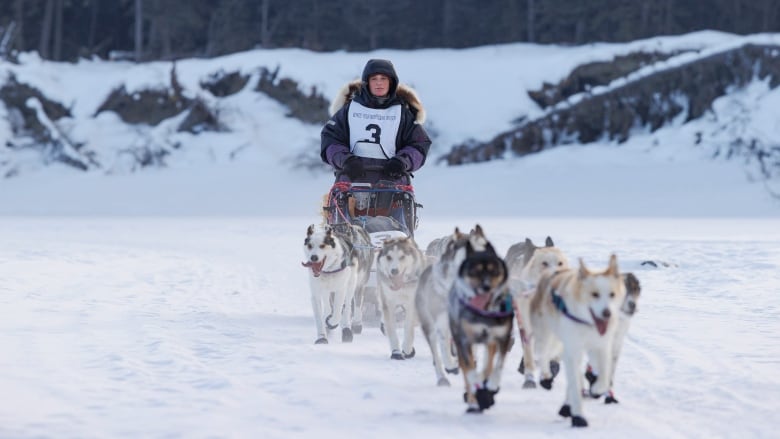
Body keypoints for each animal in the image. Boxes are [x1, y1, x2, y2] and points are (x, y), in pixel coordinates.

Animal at [414, 227, 488, 384]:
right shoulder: (442, 323)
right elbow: (444, 351)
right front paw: (451, 365)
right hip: (429, 325)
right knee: (436, 353)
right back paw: (443, 377)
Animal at [448, 234, 516, 412]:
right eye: (475, 271)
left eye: (494, 270)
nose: (486, 286)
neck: (484, 311)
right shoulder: (464, 340)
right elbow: (470, 371)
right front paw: (476, 390)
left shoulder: (502, 337)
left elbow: (497, 365)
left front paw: (491, 385)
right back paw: (473, 400)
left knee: (488, 363)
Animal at [524, 256, 628, 428]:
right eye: (594, 294)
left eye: (612, 294)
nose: (607, 313)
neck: (587, 323)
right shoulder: (572, 350)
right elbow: (574, 382)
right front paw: (578, 415)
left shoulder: (601, 346)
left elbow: (604, 373)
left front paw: (598, 388)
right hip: (545, 334)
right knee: (543, 354)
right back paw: (546, 377)